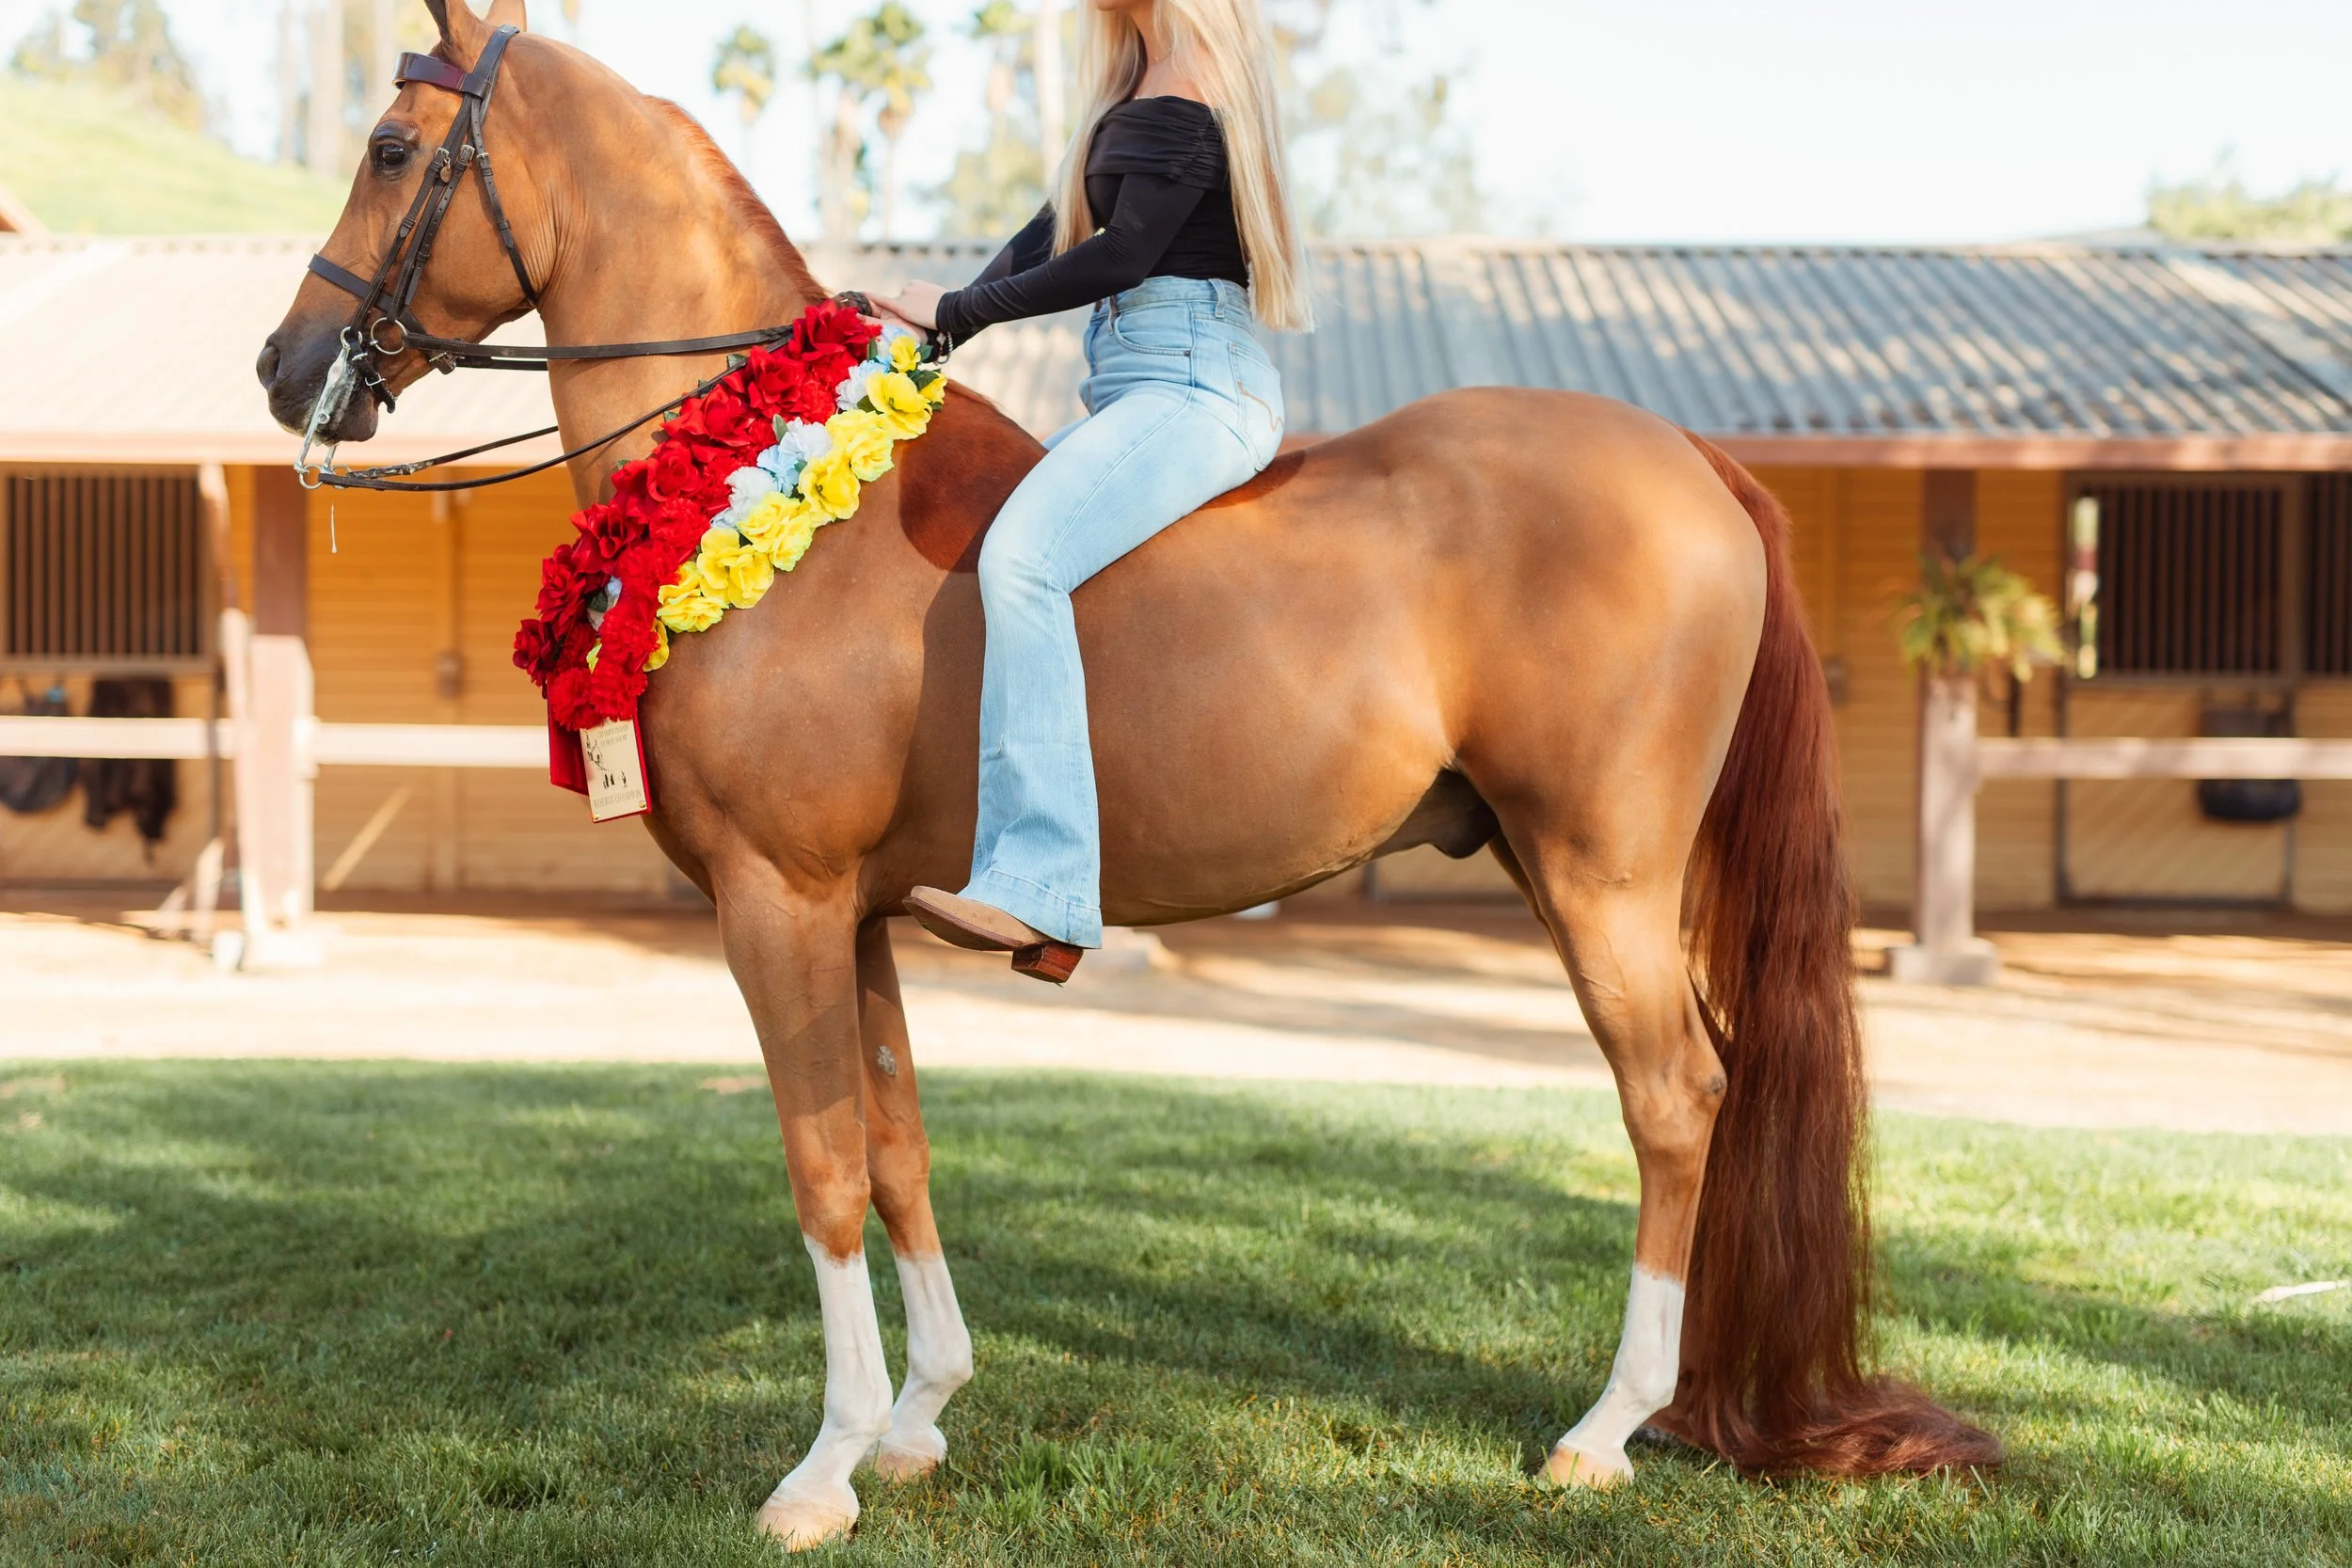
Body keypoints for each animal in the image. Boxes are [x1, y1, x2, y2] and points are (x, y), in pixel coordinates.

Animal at [256, 0, 1999, 1548]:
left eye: (391, 146)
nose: (290, 366)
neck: (767, 483)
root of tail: (1693, 460)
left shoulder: (778, 901)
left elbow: (821, 1167)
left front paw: (822, 1468)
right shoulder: (859, 917)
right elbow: (897, 1149)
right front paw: (915, 1420)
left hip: (1600, 871)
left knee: (1676, 1096)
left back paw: (1602, 1431)